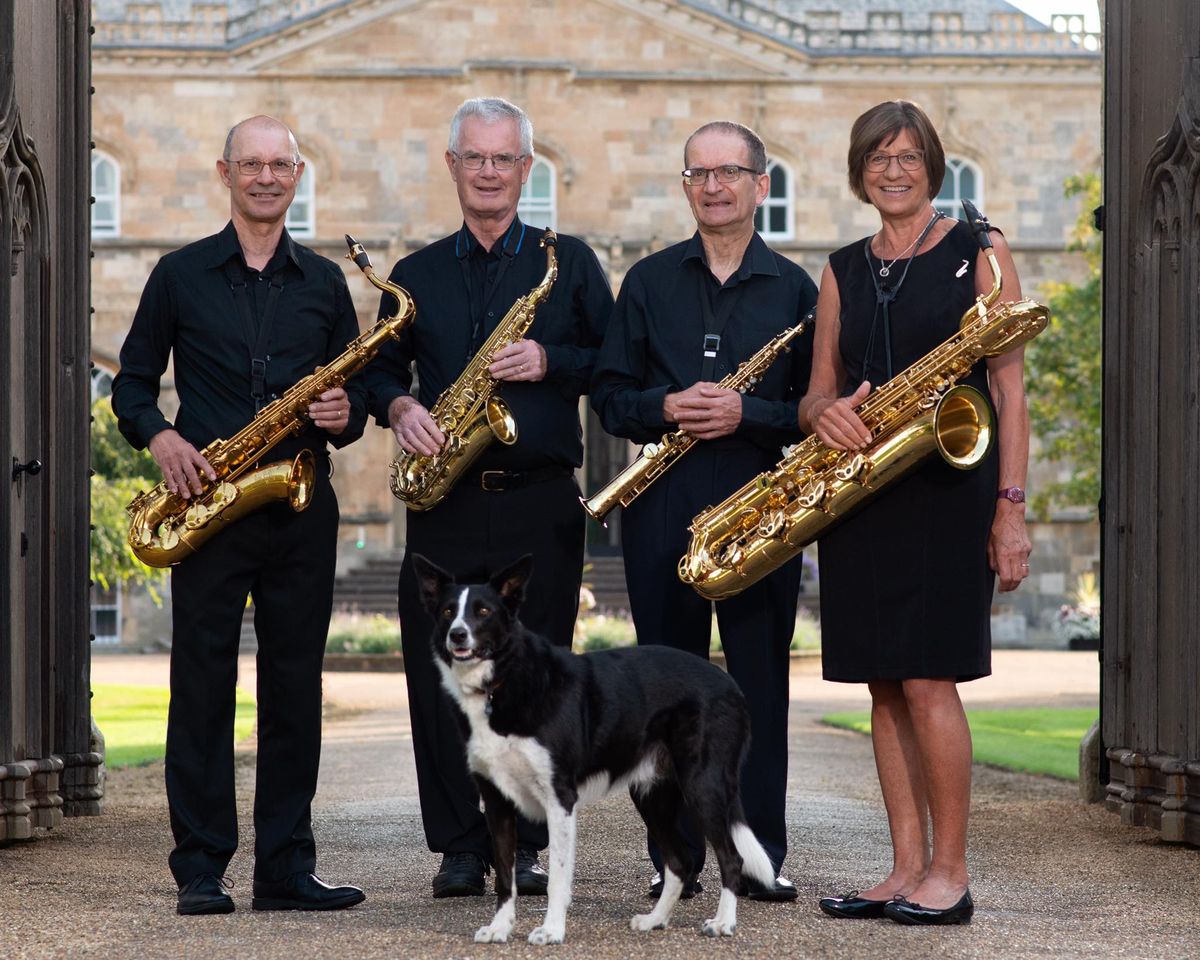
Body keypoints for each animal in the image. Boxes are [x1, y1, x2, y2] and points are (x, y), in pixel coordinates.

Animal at [415, 554, 777, 945]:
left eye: (483, 611)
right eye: (448, 611)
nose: (457, 634)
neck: (501, 682)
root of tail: (729, 683)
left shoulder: (560, 798)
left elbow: (558, 878)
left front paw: (551, 930)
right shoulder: (497, 802)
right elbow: (505, 877)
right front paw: (500, 928)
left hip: (702, 785)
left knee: (731, 858)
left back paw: (723, 923)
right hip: (652, 794)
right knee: (679, 861)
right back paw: (656, 920)